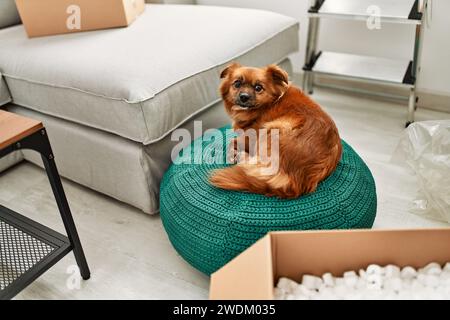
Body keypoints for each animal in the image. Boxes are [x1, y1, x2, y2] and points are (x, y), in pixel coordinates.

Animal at [210, 62, 342, 198]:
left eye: (258, 88)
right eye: (237, 84)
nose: (244, 97)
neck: (267, 106)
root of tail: (298, 182)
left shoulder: (250, 138)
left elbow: (233, 141)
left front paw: (232, 154)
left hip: (273, 128)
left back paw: (242, 157)